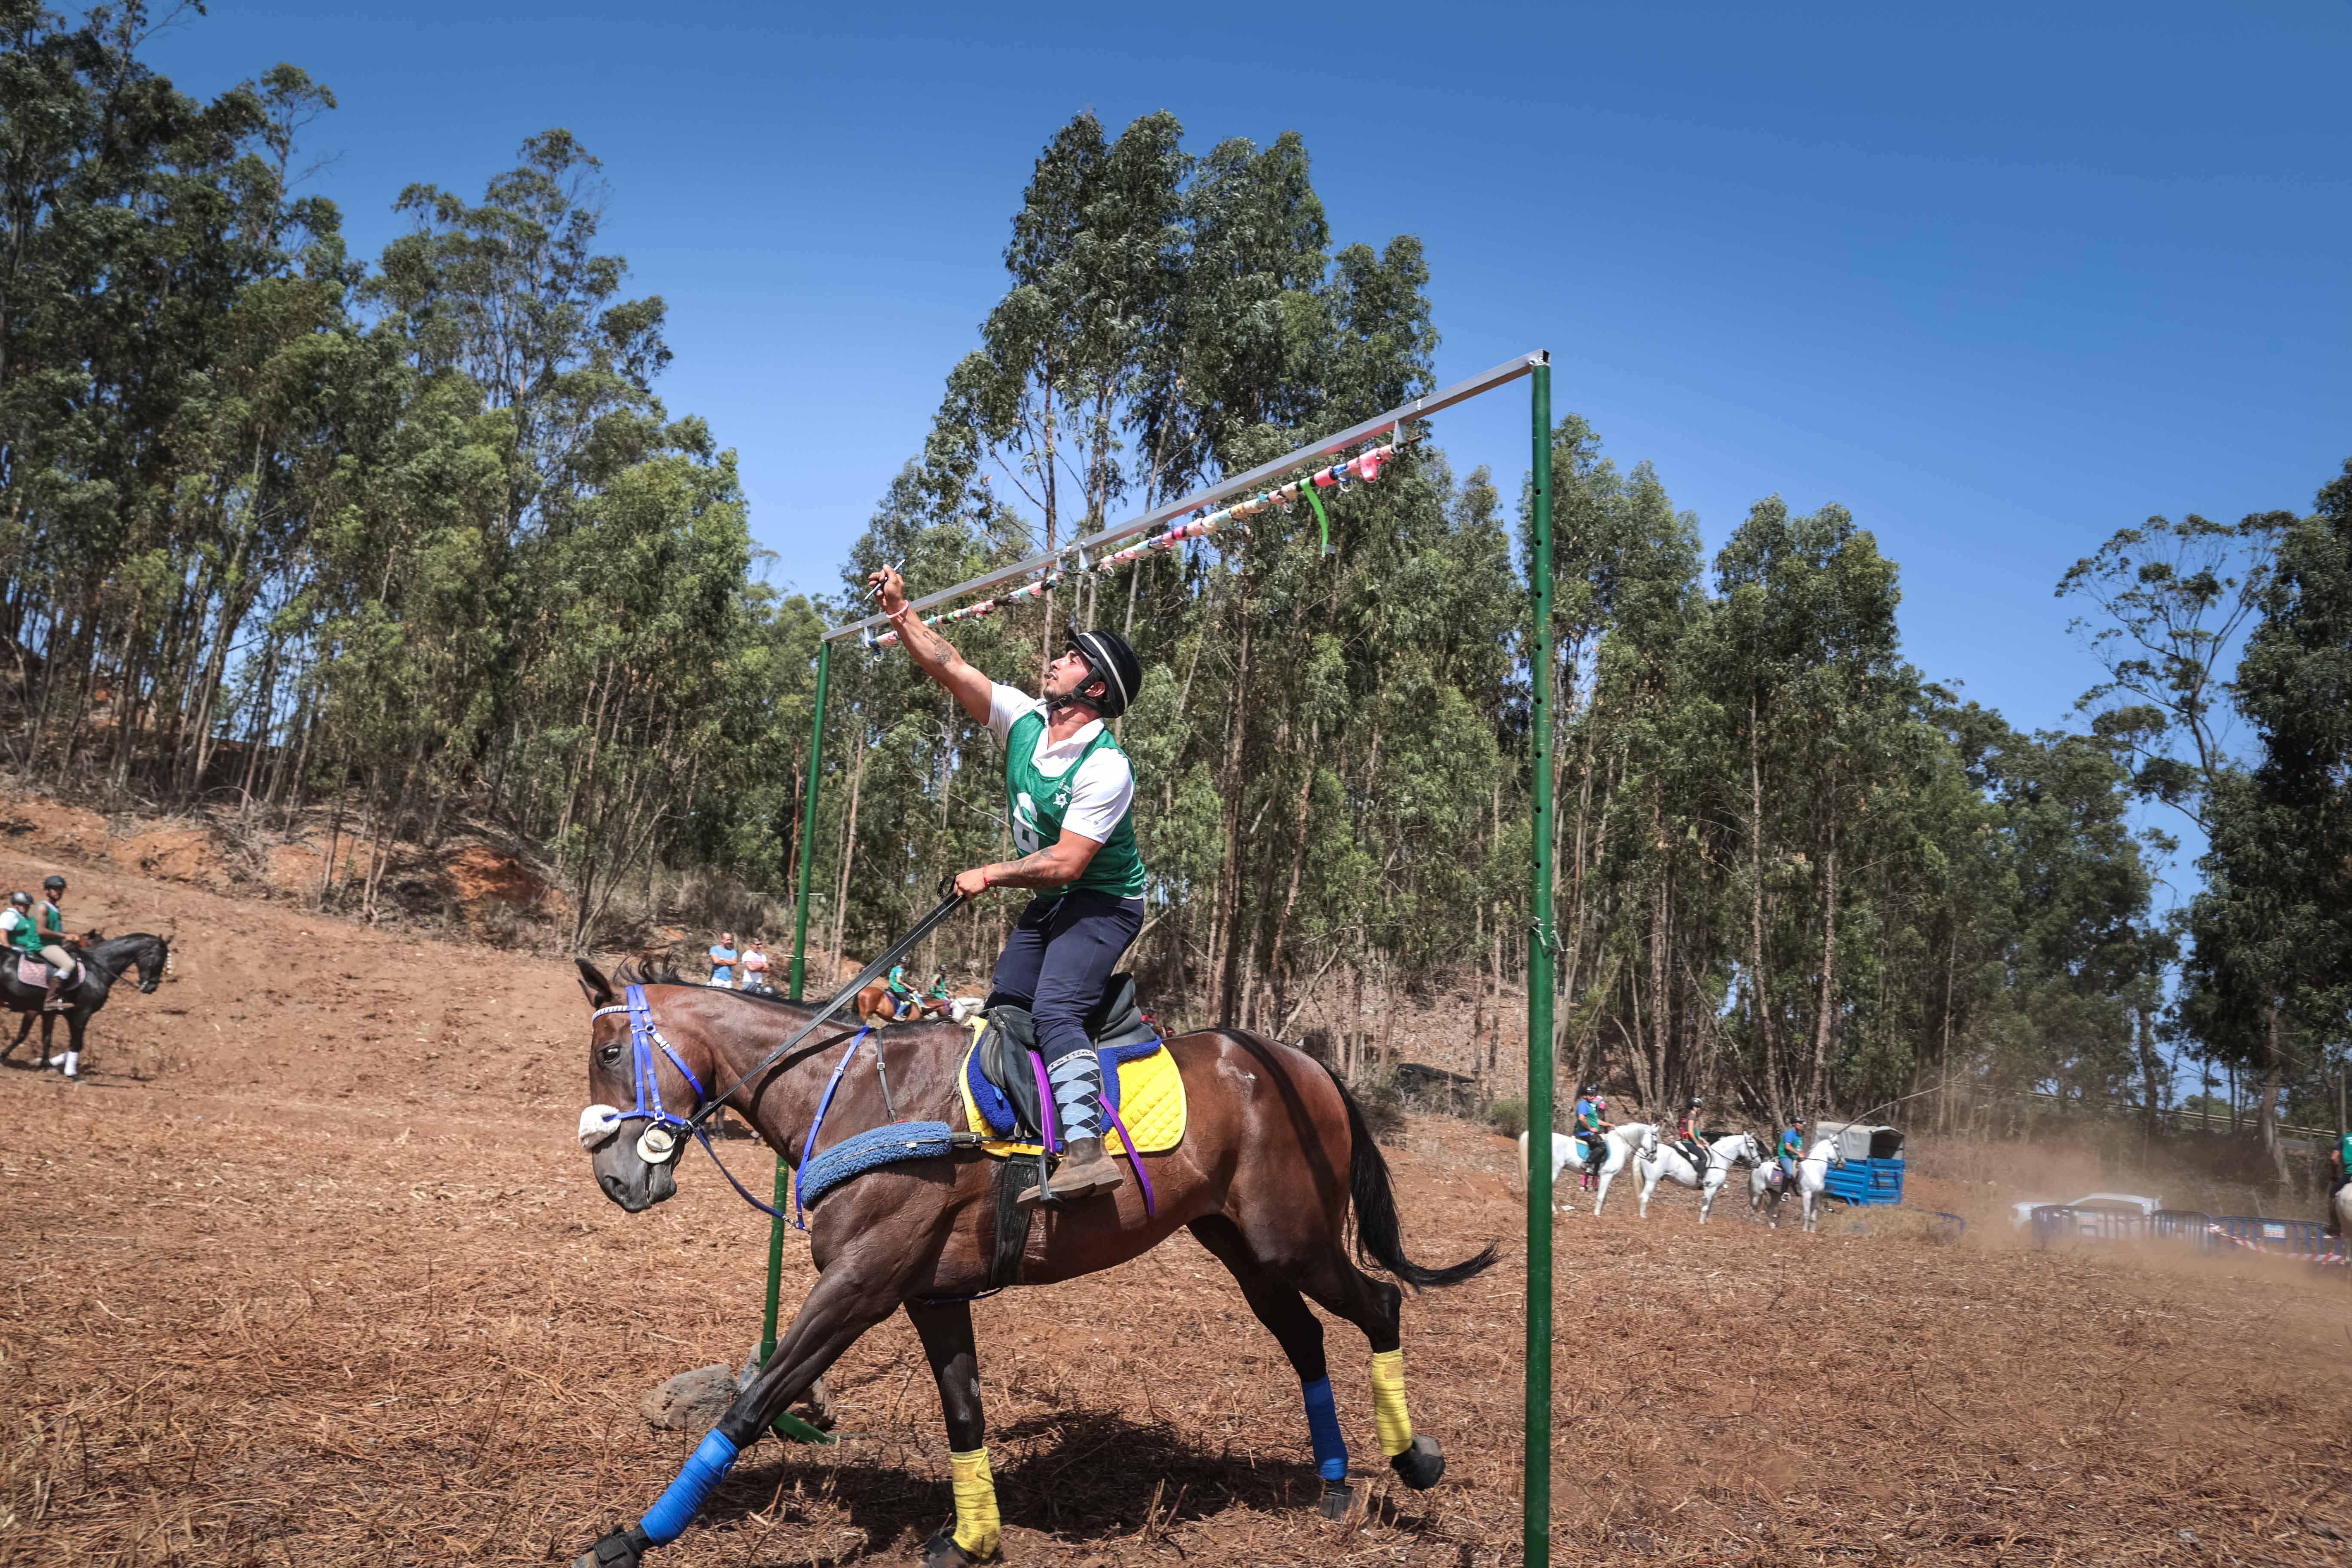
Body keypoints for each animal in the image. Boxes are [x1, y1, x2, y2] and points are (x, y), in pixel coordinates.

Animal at [0, 931, 172, 1081]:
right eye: (159, 960)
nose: (152, 988)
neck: (96, 969)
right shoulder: (81, 1013)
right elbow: (76, 1043)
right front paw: (72, 1074)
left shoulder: (48, 1011)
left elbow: (46, 1038)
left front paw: (46, 1064)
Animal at [567, 959, 1486, 1568]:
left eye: (610, 1053)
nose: (614, 1178)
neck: (862, 1095)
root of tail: (1297, 1062)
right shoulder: (930, 1295)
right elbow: (964, 1413)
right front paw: (971, 1534)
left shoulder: (859, 1284)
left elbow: (753, 1405)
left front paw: (634, 1535)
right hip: (1242, 1246)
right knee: (1304, 1339)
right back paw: (1331, 1481)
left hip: (1292, 1238)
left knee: (1379, 1304)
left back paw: (1411, 1459)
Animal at [1514, 1128, 1646, 1213]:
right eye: (1652, 1136)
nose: (1650, 1156)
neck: (1619, 1145)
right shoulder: (1607, 1175)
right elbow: (1601, 1197)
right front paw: (1597, 1215)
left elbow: (1604, 1197)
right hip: (1555, 1168)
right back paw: (1554, 1210)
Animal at [1637, 1128, 1768, 1222]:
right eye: (1752, 1147)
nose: (1759, 1163)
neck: (1719, 1159)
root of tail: (1646, 1152)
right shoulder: (1710, 1188)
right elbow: (1705, 1208)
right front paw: (1701, 1224)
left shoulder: (1715, 1189)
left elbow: (1710, 1207)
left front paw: (1707, 1223)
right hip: (1652, 1180)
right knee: (1644, 1197)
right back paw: (1643, 1217)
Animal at [1740, 1133, 1844, 1231]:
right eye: (1838, 1148)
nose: (1843, 1163)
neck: (1815, 1170)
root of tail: (1757, 1166)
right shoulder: (1807, 1195)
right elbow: (1807, 1214)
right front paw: (1805, 1231)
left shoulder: (1816, 1196)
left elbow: (1814, 1217)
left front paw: (1812, 1232)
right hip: (1758, 1193)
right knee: (1753, 1208)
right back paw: (1753, 1223)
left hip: (1775, 1195)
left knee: (1770, 1209)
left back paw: (1772, 1226)